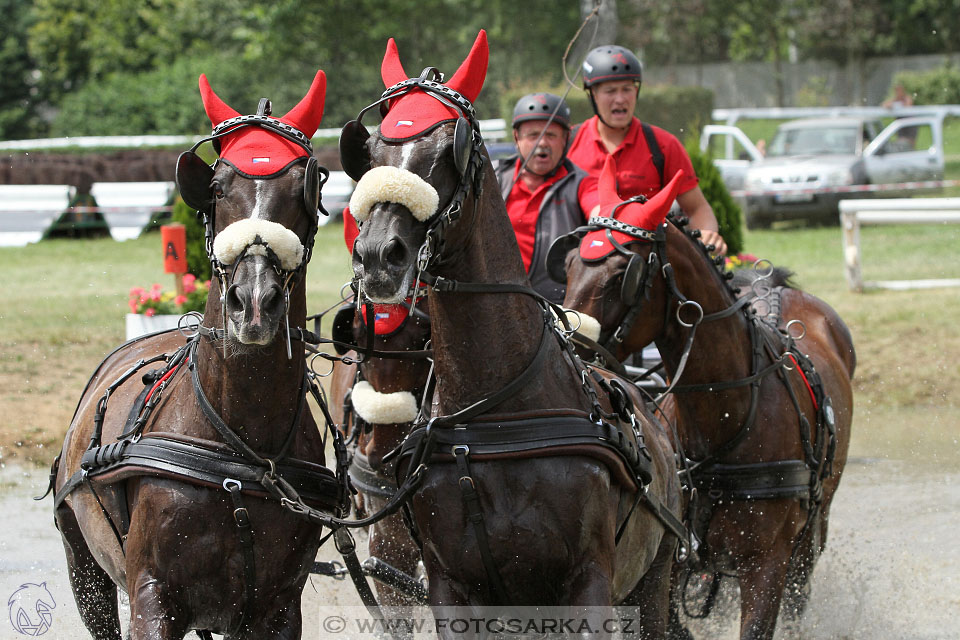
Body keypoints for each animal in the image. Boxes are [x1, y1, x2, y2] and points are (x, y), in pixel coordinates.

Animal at [49, 72, 342, 636]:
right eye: (218, 185)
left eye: (304, 186)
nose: (255, 302)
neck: (239, 452)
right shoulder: (153, 596)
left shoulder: (275, 609)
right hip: (84, 568)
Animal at [342, 31, 688, 632]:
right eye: (376, 153)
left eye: (449, 150)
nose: (379, 256)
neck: (493, 417)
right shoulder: (453, 587)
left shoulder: (587, 582)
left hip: (654, 581)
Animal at [556, 156, 856, 640]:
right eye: (568, 264)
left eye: (624, 274)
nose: (569, 345)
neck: (727, 417)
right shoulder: (672, 555)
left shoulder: (768, 563)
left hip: (813, 529)